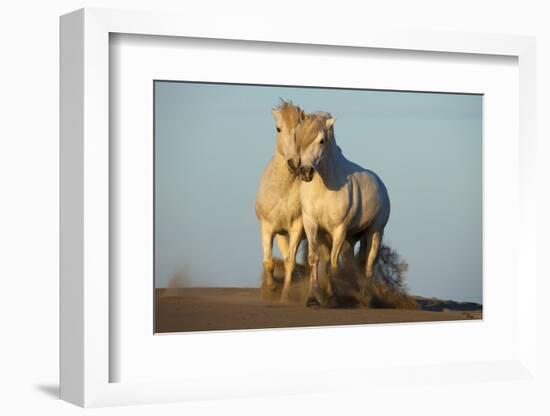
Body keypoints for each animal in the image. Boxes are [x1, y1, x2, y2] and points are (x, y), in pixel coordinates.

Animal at [256, 101, 308, 302]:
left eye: (301, 130)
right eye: (278, 128)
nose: (294, 162)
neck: (281, 192)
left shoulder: (297, 228)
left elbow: (290, 262)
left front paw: (285, 296)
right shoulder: (267, 227)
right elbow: (269, 262)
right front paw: (271, 288)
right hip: (281, 235)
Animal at [298, 112, 392, 308]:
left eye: (322, 141)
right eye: (300, 138)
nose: (306, 172)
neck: (323, 187)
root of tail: (380, 184)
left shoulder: (339, 230)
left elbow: (334, 263)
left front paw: (334, 297)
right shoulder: (311, 225)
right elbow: (315, 259)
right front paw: (313, 297)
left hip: (375, 232)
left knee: (369, 263)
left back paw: (365, 299)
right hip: (351, 238)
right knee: (354, 262)